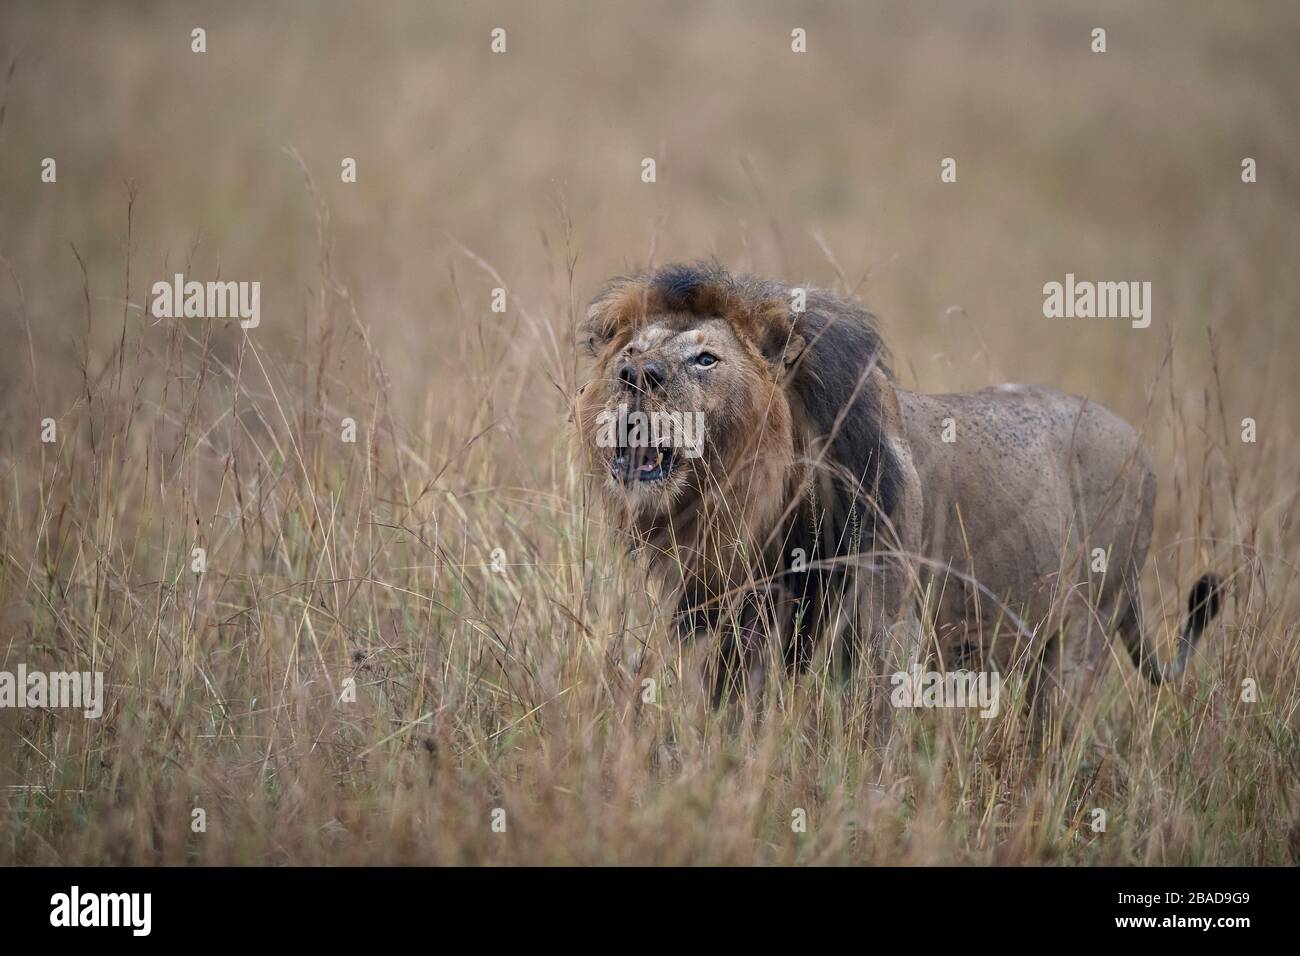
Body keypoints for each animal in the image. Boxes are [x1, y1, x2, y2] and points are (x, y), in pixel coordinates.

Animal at [574, 262, 1222, 719]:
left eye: (706, 359)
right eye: (630, 352)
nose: (635, 376)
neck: (760, 498)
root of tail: (1140, 446)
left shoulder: (890, 631)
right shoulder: (733, 625)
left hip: (1084, 629)